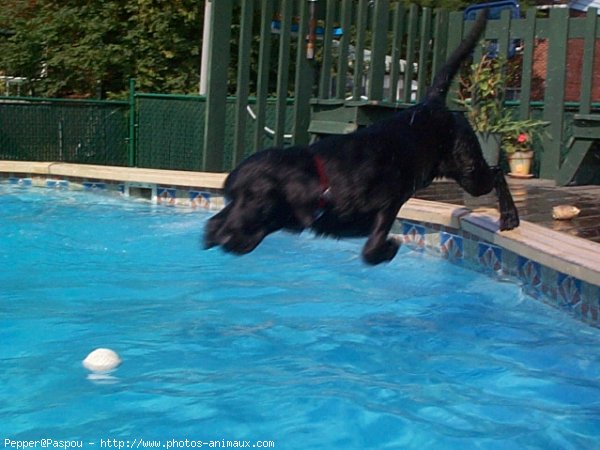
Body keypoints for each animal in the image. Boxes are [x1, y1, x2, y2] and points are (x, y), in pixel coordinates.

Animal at [204, 10, 516, 266]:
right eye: (231, 196)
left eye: (256, 200)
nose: (217, 235)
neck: (327, 178)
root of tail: (431, 103)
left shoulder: (389, 200)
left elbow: (371, 247)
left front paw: (389, 247)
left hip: (470, 172)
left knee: (496, 172)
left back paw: (510, 215)